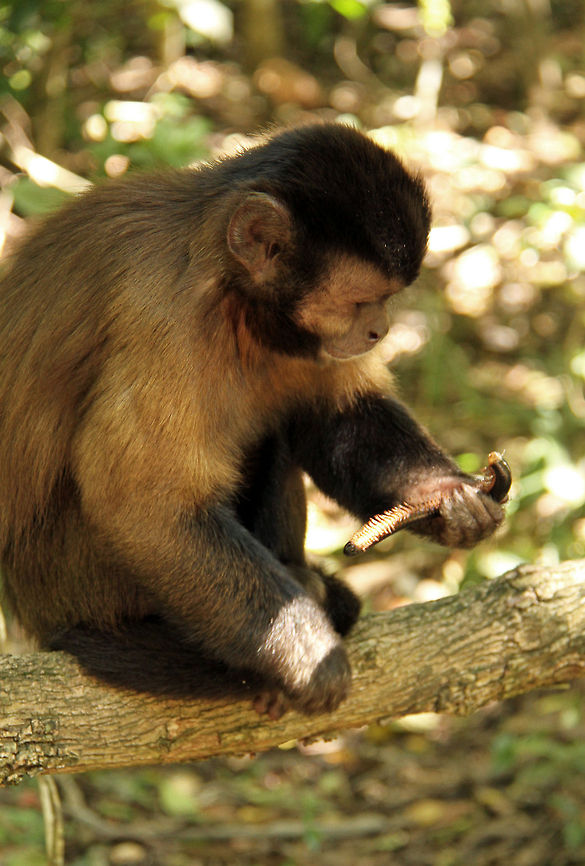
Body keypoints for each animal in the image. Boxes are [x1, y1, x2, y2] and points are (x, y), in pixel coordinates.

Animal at [0, 123, 504, 716]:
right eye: (361, 300)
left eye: (385, 300)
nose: (379, 329)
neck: (229, 291)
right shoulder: (162, 315)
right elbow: (146, 511)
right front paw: (307, 654)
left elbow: (336, 419)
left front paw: (448, 497)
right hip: (74, 581)